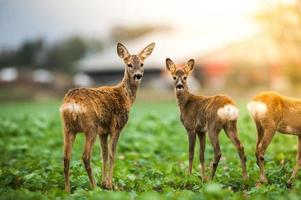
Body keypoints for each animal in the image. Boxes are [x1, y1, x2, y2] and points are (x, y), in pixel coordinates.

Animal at [60, 42, 156, 192]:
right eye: (129, 64)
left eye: (142, 64)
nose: (138, 75)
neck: (126, 97)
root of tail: (73, 104)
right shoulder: (116, 127)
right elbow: (112, 154)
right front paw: (110, 185)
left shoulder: (103, 131)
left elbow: (104, 155)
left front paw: (104, 183)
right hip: (90, 127)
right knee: (85, 156)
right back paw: (94, 187)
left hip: (67, 127)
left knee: (66, 156)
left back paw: (68, 190)